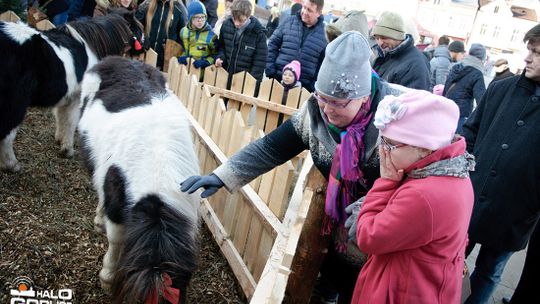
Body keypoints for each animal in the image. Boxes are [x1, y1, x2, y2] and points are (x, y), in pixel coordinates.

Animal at [0, 7, 143, 171]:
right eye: (138, 29)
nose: (143, 51)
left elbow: (61, 117)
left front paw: (59, 139)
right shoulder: (76, 99)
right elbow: (71, 121)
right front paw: (67, 149)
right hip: (15, 105)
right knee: (7, 134)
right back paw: (12, 165)